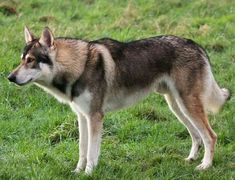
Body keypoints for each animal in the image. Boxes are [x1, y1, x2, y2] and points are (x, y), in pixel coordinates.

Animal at [8, 26, 230, 174]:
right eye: (21, 60)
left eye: (31, 60)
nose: (10, 77)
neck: (79, 66)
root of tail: (196, 45)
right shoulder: (82, 117)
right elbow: (82, 150)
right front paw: (77, 172)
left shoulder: (95, 117)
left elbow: (92, 152)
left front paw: (88, 173)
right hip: (177, 107)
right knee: (197, 136)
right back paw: (191, 158)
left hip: (188, 105)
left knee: (210, 136)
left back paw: (205, 165)